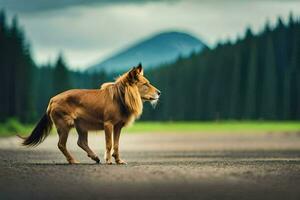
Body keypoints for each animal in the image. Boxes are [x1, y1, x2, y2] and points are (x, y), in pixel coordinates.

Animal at [21, 63, 161, 164]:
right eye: (145, 84)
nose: (159, 92)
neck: (120, 97)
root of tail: (52, 100)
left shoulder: (118, 126)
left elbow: (116, 145)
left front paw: (118, 160)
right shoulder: (108, 124)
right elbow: (109, 144)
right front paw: (108, 160)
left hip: (81, 125)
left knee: (81, 142)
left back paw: (94, 157)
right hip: (64, 124)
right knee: (61, 144)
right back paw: (73, 160)